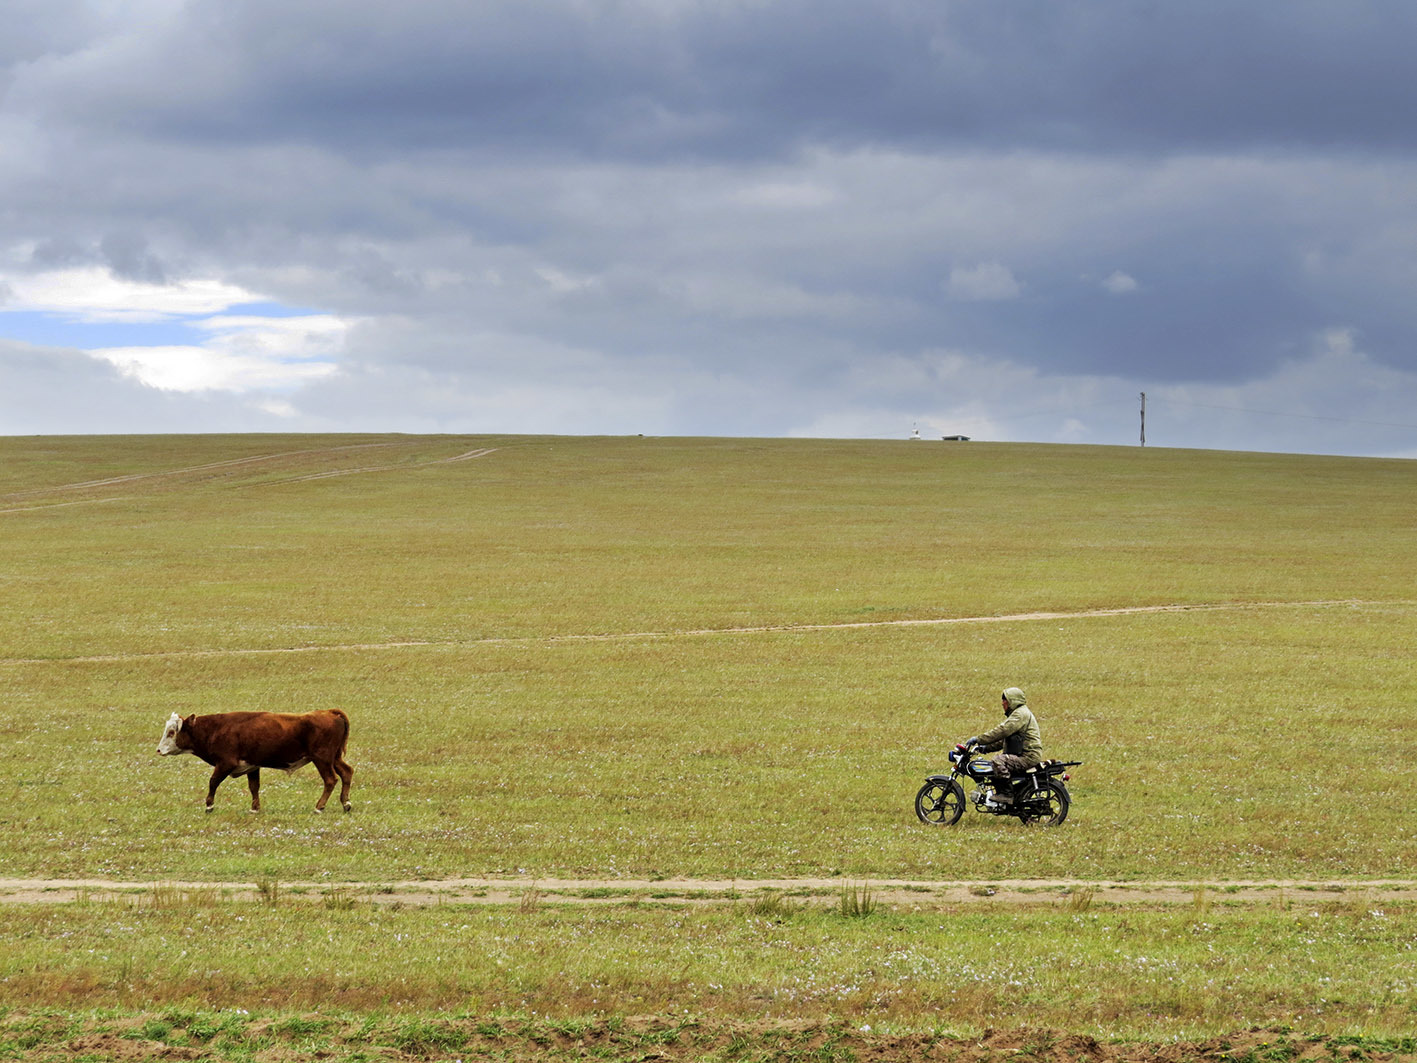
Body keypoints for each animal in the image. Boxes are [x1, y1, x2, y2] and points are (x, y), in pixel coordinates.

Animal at [155, 708, 351, 816]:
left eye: (171, 732)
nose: (158, 750)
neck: (216, 729)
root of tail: (330, 712)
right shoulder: (252, 766)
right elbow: (254, 786)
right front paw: (254, 808)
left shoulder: (225, 763)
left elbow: (213, 782)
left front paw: (209, 805)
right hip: (334, 758)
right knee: (347, 773)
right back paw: (346, 803)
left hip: (322, 759)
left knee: (330, 780)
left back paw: (319, 807)